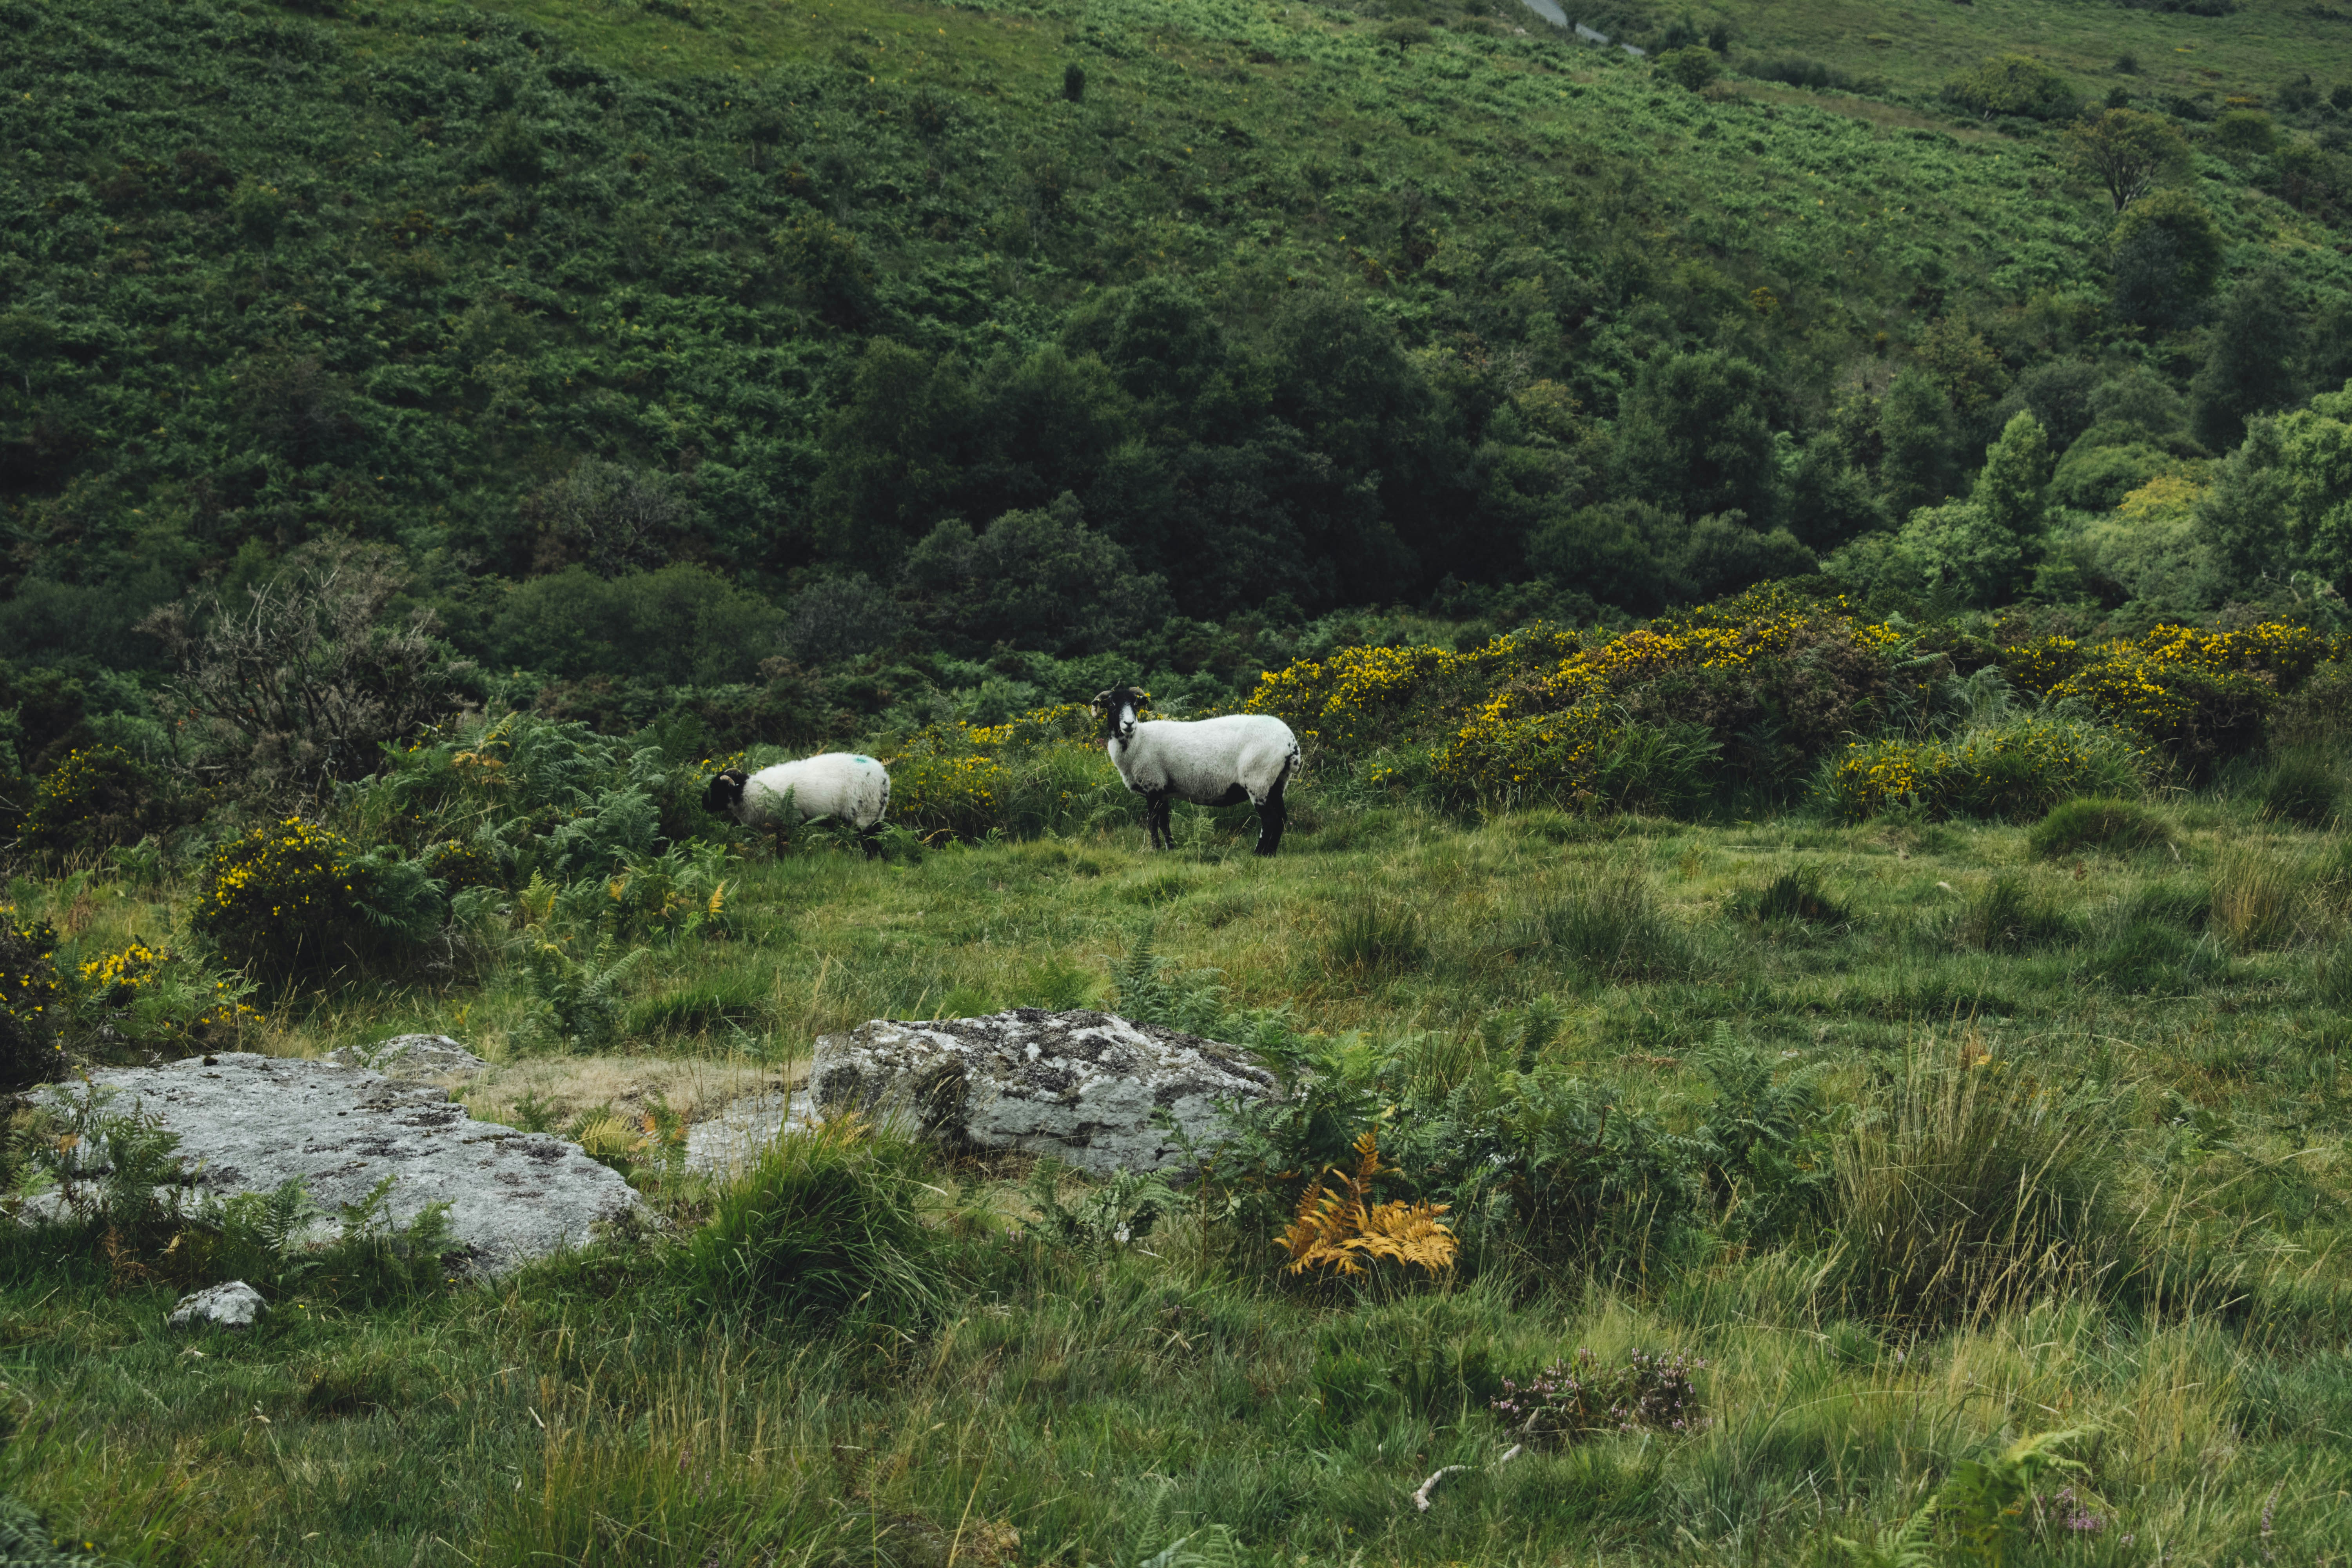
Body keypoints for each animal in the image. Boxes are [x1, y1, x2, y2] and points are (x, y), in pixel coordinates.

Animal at [703, 753, 891, 856]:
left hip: (865, 813)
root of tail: (883, 778)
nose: (704, 804)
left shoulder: (789, 821)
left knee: (871, 840)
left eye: (718, 790)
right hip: (875, 813)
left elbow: (783, 846)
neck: (748, 791)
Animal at [1092, 687, 1300, 856]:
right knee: (1282, 819)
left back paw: (1258, 854)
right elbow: (1164, 822)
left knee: (1270, 820)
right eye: (1112, 704)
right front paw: (1170, 849)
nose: (1129, 724)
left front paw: (1155, 850)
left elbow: (1152, 822)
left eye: (1135, 704)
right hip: (1277, 782)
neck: (1137, 741)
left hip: (1259, 779)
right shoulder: (1162, 790)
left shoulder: (1153, 784)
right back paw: (1271, 854)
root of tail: (1291, 743)